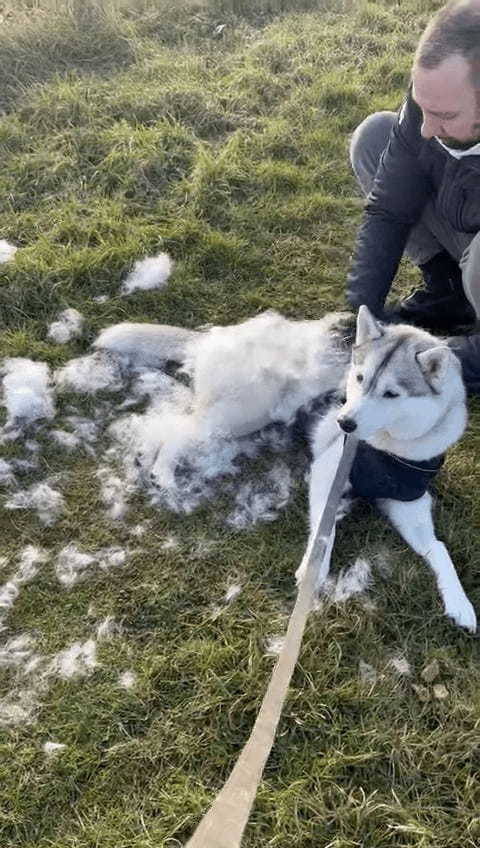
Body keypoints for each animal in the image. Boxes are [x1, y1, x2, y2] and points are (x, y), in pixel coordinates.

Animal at [94, 308, 476, 632]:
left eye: (392, 393)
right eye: (359, 378)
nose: (343, 422)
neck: (390, 446)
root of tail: (217, 336)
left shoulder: (408, 503)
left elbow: (438, 548)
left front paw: (460, 602)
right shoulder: (328, 471)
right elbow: (324, 532)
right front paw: (313, 571)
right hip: (240, 414)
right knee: (177, 432)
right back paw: (165, 475)